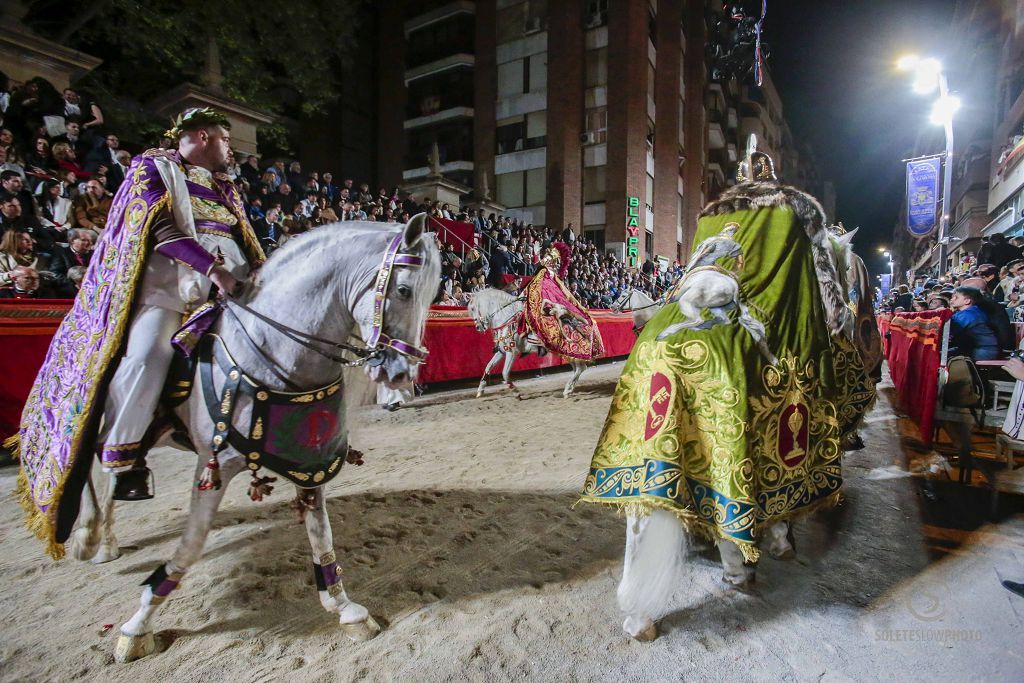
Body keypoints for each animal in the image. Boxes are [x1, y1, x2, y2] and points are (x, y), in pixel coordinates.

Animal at [71, 216, 440, 659]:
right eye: (403, 290)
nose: (401, 374)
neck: (273, 353)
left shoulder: (309, 464)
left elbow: (321, 535)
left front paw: (345, 608)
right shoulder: (212, 467)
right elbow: (191, 546)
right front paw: (137, 626)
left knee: (105, 475)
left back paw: (102, 537)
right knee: (98, 467)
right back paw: (92, 536)